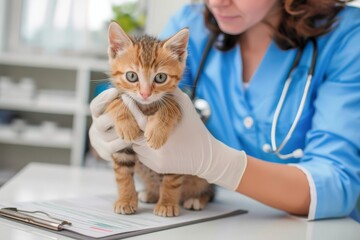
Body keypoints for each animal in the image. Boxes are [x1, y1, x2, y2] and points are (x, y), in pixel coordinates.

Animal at [104, 22, 214, 218]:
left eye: (160, 77)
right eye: (132, 76)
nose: (145, 94)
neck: (146, 108)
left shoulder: (177, 153)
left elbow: (172, 181)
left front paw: (167, 204)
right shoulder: (120, 145)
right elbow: (123, 174)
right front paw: (125, 200)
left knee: (208, 189)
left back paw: (196, 199)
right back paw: (150, 193)